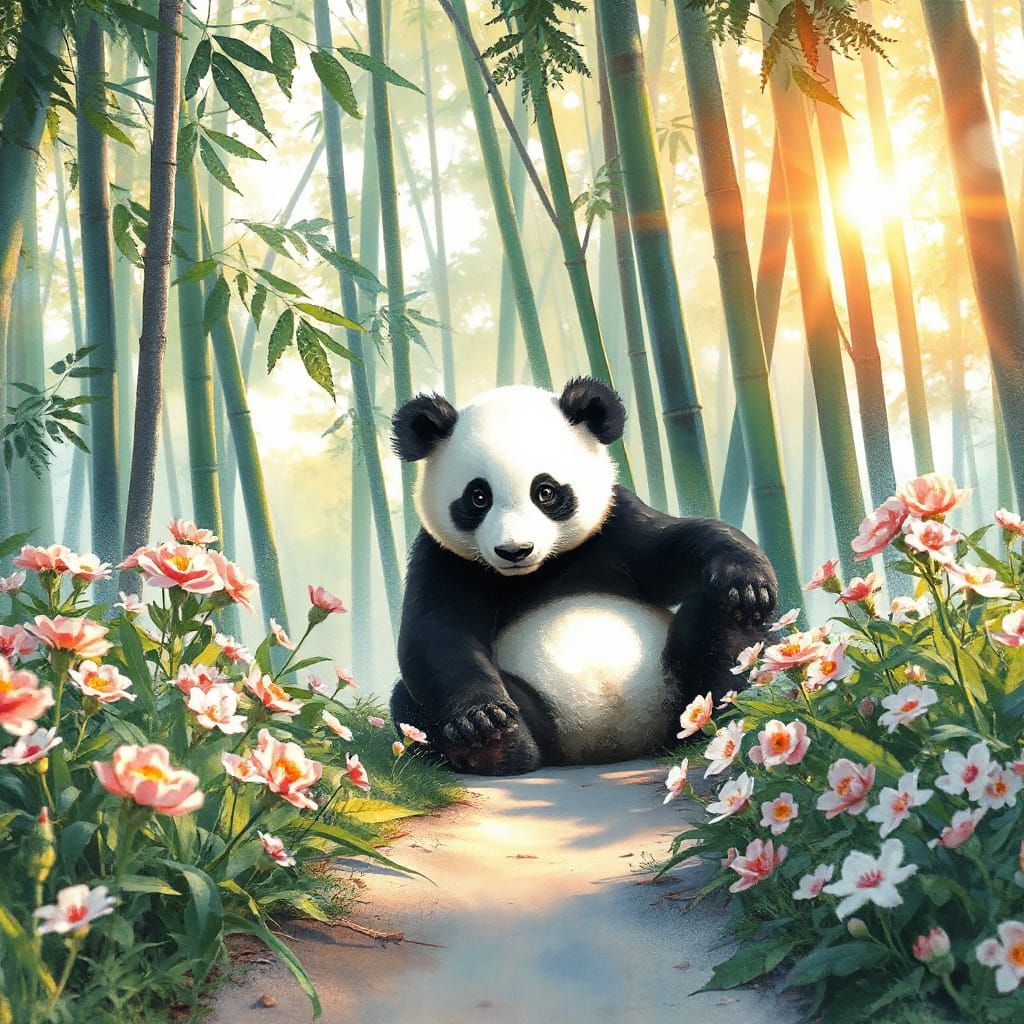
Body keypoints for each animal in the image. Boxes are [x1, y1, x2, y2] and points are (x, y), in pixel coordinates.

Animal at [389, 377, 777, 776]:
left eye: (545, 491)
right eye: (478, 497)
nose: (515, 550)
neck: (538, 570)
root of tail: (605, 745)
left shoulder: (614, 523)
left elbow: (676, 539)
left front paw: (745, 580)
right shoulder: (445, 557)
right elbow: (438, 632)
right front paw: (480, 720)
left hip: (672, 682)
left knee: (714, 634)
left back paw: (721, 691)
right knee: (409, 702)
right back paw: (495, 748)